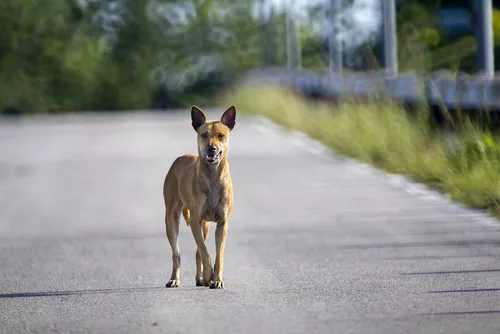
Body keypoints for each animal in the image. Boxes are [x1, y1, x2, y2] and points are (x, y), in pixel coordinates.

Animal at [163, 105, 235, 288]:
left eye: (221, 135)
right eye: (204, 135)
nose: (211, 148)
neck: (213, 175)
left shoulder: (222, 222)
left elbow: (218, 254)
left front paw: (216, 279)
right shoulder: (195, 219)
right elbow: (204, 251)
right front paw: (210, 274)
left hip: (206, 225)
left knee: (197, 251)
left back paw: (200, 278)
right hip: (171, 217)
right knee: (178, 253)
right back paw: (175, 279)